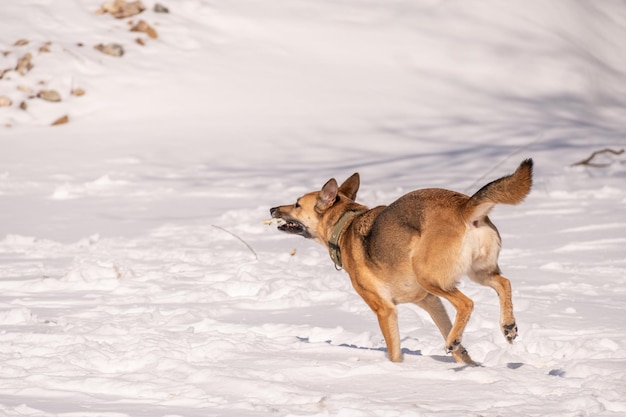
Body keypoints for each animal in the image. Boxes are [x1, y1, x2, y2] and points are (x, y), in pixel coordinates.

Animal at [268, 159, 532, 364]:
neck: (345, 225)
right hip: (477, 273)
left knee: (467, 303)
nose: (272, 209)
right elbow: (449, 333)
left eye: (297, 204)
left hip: (429, 276)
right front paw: (469, 365)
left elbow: (394, 351)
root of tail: (464, 207)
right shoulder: (430, 301)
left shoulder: (384, 309)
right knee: (503, 283)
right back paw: (506, 326)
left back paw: (456, 338)